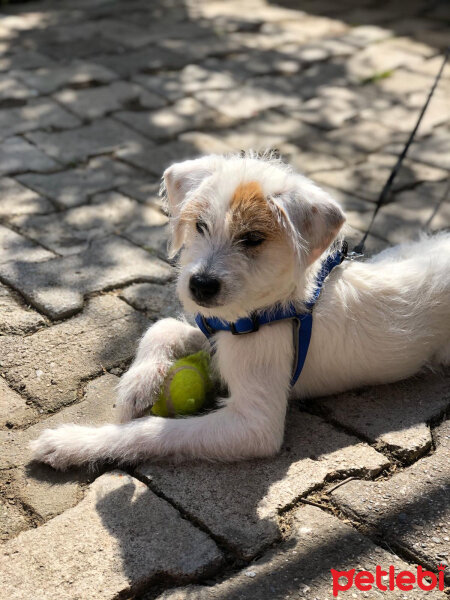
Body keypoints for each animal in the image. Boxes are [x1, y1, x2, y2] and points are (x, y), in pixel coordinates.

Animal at [29, 151, 450, 468]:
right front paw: (137, 385)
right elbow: (161, 327)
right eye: (200, 226)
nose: (200, 285)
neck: (265, 310)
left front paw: (74, 443)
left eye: (253, 238)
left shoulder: (253, 425)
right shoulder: (215, 325)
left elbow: (154, 432)